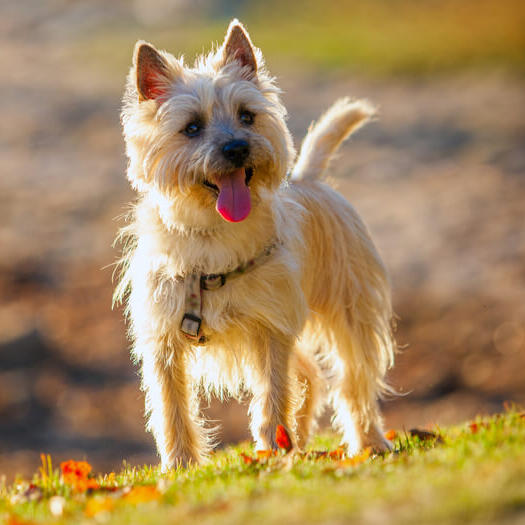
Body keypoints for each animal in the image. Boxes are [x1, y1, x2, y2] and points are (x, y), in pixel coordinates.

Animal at [113, 18, 392, 468]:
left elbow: (273, 393)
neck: (211, 234)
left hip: (350, 315)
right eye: (192, 127)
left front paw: (271, 451)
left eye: (247, 116)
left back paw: (368, 441)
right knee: (310, 374)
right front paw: (180, 465)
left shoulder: (270, 329)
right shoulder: (163, 339)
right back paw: (302, 435)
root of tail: (309, 178)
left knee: (352, 380)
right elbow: (172, 406)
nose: (237, 147)